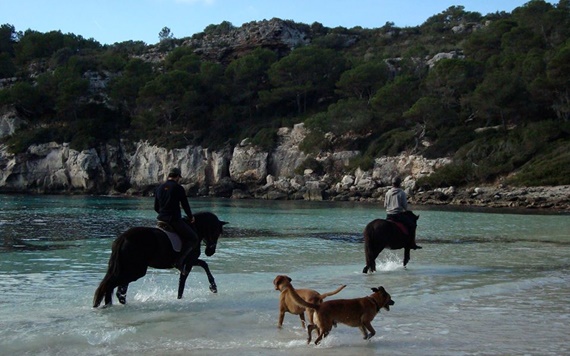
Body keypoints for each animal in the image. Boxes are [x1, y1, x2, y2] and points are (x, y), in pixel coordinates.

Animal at [92, 210, 226, 308]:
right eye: (217, 232)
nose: (210, 252)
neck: (195, 228)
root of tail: (123, 238)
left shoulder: (190, 262)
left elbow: (203, 265)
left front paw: (213, 287)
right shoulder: (189, 262)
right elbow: (186, 279)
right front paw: (212, 287)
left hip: (129, 268)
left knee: (118, 288)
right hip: (135, 270)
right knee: (112, 285)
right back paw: (108, 304)